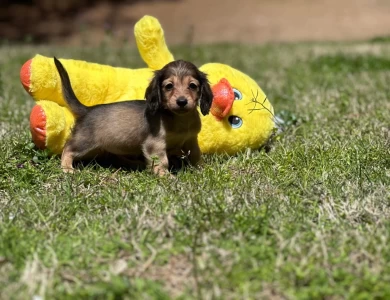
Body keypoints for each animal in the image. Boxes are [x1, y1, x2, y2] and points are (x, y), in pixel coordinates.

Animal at [53, 56, 212, 176]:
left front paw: (203, 169)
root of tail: (86, 110)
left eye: (192, 85)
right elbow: (162, 161)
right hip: (84, 142)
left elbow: (196, 156)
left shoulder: (191, 140)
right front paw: (166, 175)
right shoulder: (154, 144)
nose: (182, 101)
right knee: (67, 149)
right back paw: (67, 168)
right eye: (169, 86)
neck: (179, 119)